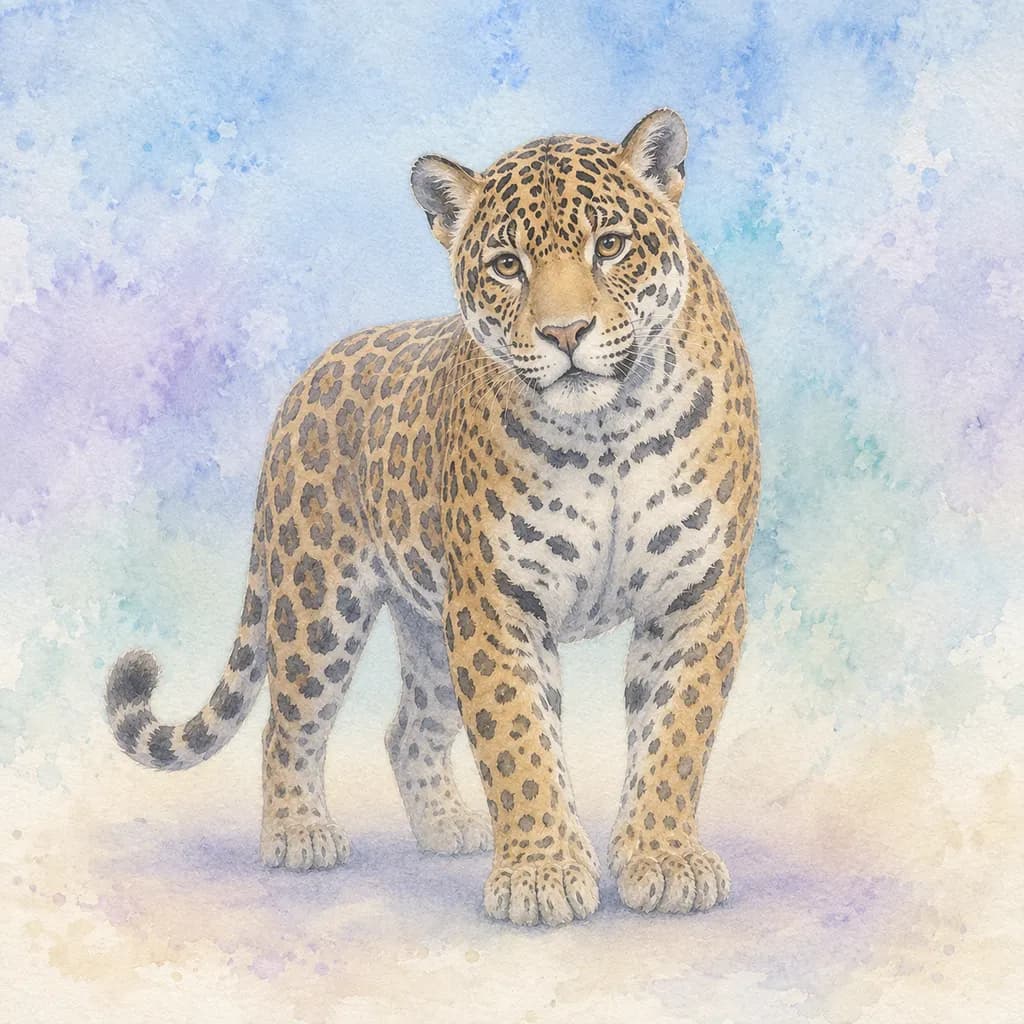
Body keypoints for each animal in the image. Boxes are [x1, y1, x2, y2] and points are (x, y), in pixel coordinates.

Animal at [106, 108, 760, 927]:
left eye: (609, 246)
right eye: (508, 265)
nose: (566, 333)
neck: (605, 428)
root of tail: (306, 381)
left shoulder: (697, 594)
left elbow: (675, 735)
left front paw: (664, 861)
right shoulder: (496, 603)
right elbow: (520, 741)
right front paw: (542, 875)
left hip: (427, 624)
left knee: (406, 731)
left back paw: (448, 827)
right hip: (317, 600)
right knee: (287, 724)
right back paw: (299, 833)